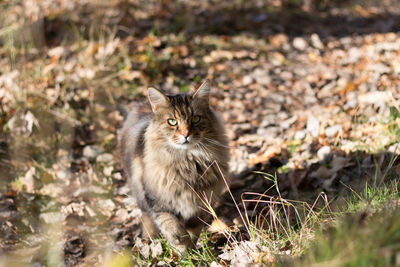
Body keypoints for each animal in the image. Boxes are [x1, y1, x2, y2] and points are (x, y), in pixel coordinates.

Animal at [119, 80, 230, 252]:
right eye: (172, 122)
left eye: (195, 119)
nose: (186, 134)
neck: (187, 163)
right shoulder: (158, 201)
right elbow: (173, 226)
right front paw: (182, 247)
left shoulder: (202, 203)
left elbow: (193, 229)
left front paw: (192, 251)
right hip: (140, 192)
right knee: (147, 218)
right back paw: (150, 239)